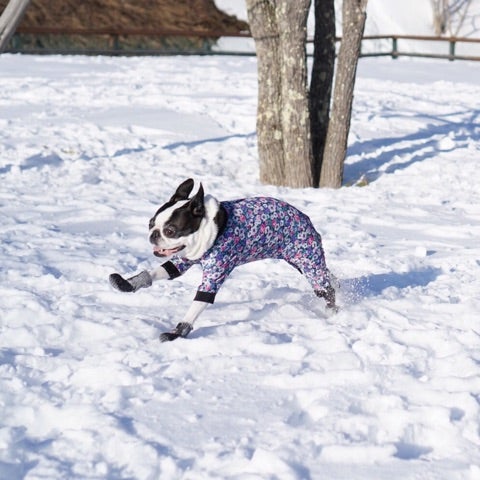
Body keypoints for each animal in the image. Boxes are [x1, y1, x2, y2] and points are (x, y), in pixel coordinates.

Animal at [110, 177, 338, 342]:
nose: (153, 234)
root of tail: (306, 218)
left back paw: (333, 312)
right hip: (300, 261)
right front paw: (130, 283)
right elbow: (162, 270)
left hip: (308, 259)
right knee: (328, 276)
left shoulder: (216, 270)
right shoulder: (184, 260)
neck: (208, 229)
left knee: (325, 289)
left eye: (170, 230)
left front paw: (177, 332)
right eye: (151, 223)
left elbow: (198, 302)